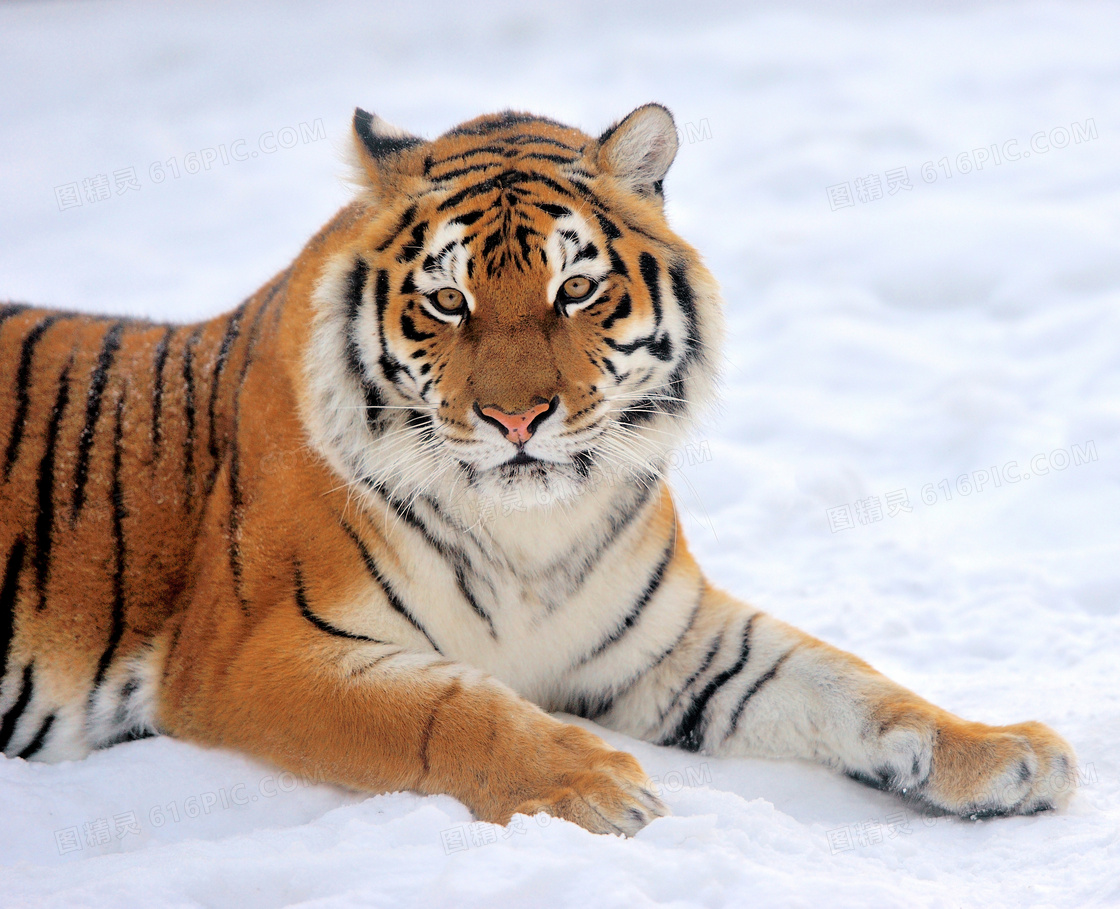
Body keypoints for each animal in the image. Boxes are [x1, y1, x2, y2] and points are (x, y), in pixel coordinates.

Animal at [0, 102, 1075, 832]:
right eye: (448, 300)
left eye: (576, 289)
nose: (516, 416)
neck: (531, 532)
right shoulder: (254, 650)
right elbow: (446, 710)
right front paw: (593, 782)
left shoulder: (672, 644)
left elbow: (840, 679)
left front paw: (1008, 753)